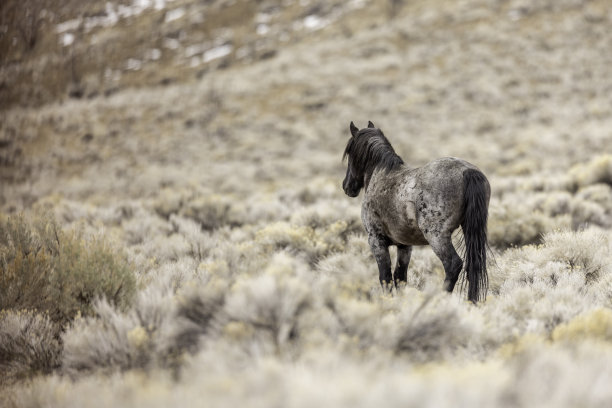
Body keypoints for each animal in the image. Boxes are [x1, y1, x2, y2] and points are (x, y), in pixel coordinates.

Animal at [342, 121, 490, 302]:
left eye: (350, 152)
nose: (346, 186)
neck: (381, 174)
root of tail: (467, 171)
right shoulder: (405, 246)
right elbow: (400, 277)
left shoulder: (376, 240)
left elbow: (385, 277)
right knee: (472, 266)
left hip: (436, 236)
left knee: (453, 265)